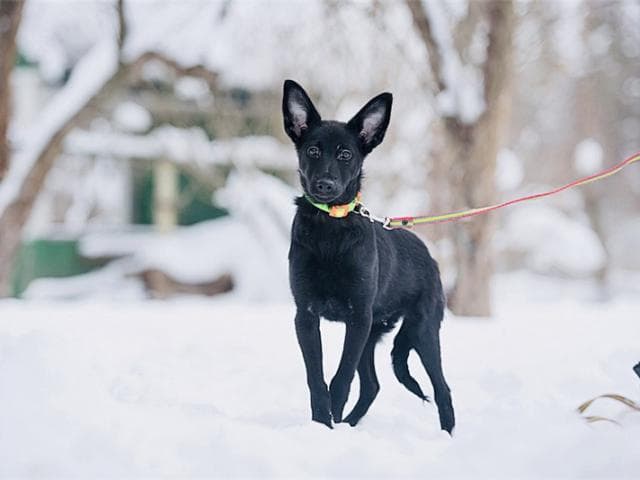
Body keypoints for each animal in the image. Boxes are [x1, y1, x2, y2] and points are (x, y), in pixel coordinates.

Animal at [284, 80, 456, 434]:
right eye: (313, 151)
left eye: (346, 154)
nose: (325, 184)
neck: (330, 228)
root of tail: (430, 257)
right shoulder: (305, 316)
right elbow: (317, 380)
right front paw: (323, 424)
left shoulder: (358, 316)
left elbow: (341, 379)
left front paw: (331, 424)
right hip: (373, 331)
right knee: (373, 385)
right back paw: (350, 424)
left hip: (421, 329)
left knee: (442, 388)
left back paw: (448, 436)